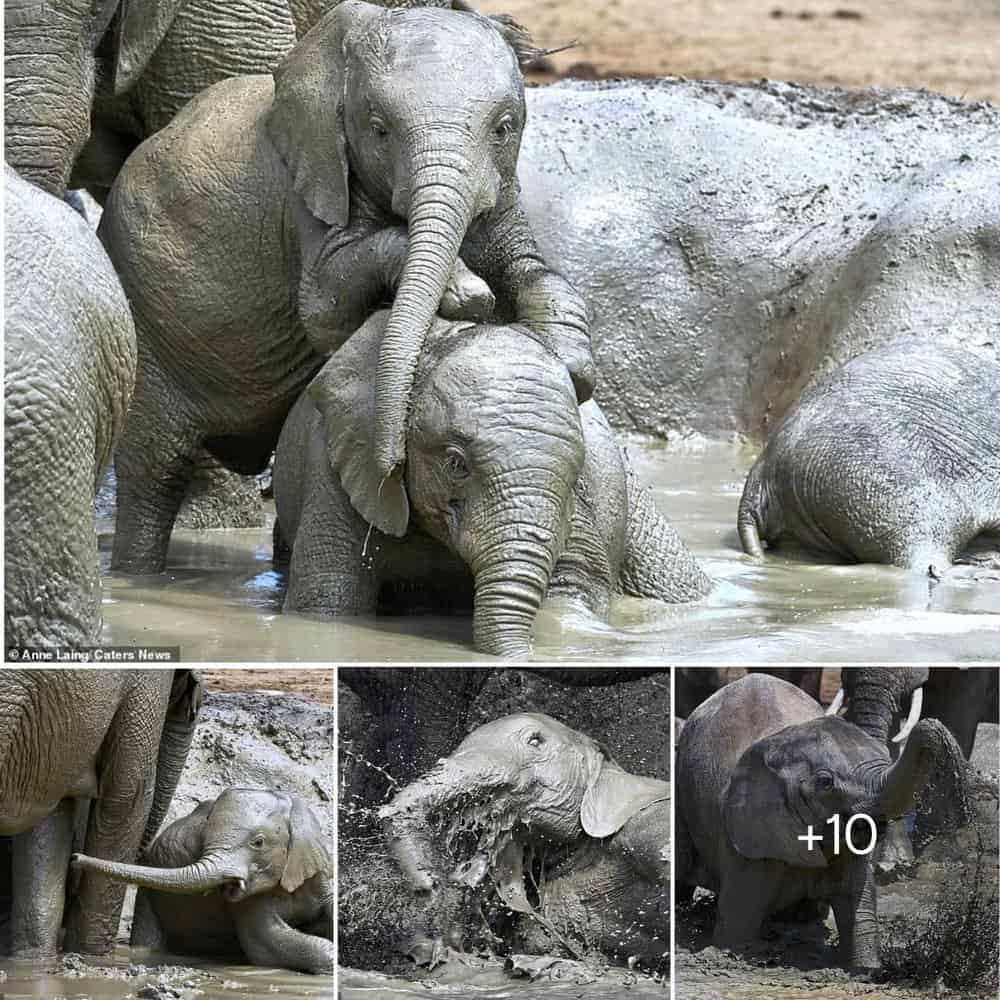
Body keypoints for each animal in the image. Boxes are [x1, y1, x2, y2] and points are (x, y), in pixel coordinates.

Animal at [72, 788, 334, 974]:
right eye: (202, 840)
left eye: (258, 843)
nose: (74, 857)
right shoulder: (246, 904)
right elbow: (265, 944)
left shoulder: (319, 871)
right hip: (148, 898)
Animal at [101, 0, 592, 576]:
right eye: (378, 130)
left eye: (504, 128)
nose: (394, 463)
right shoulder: (309, 190)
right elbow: (325, 307)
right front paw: (469, 293)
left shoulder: (503, 185)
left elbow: (532, 268)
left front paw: (571, 362)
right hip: (147, 327)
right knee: (153, 473)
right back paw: (137, 574)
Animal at [273, 311, 709, 657]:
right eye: (456, 463)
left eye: (576, 474)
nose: (526, 655)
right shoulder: (335, 469)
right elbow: (328, 602)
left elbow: (573, 587)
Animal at [675, 673, 971, 971]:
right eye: (826, 783)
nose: (934, 724)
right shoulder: (745, 837)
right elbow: (737, 927)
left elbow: (858, 906)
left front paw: (866, 969)